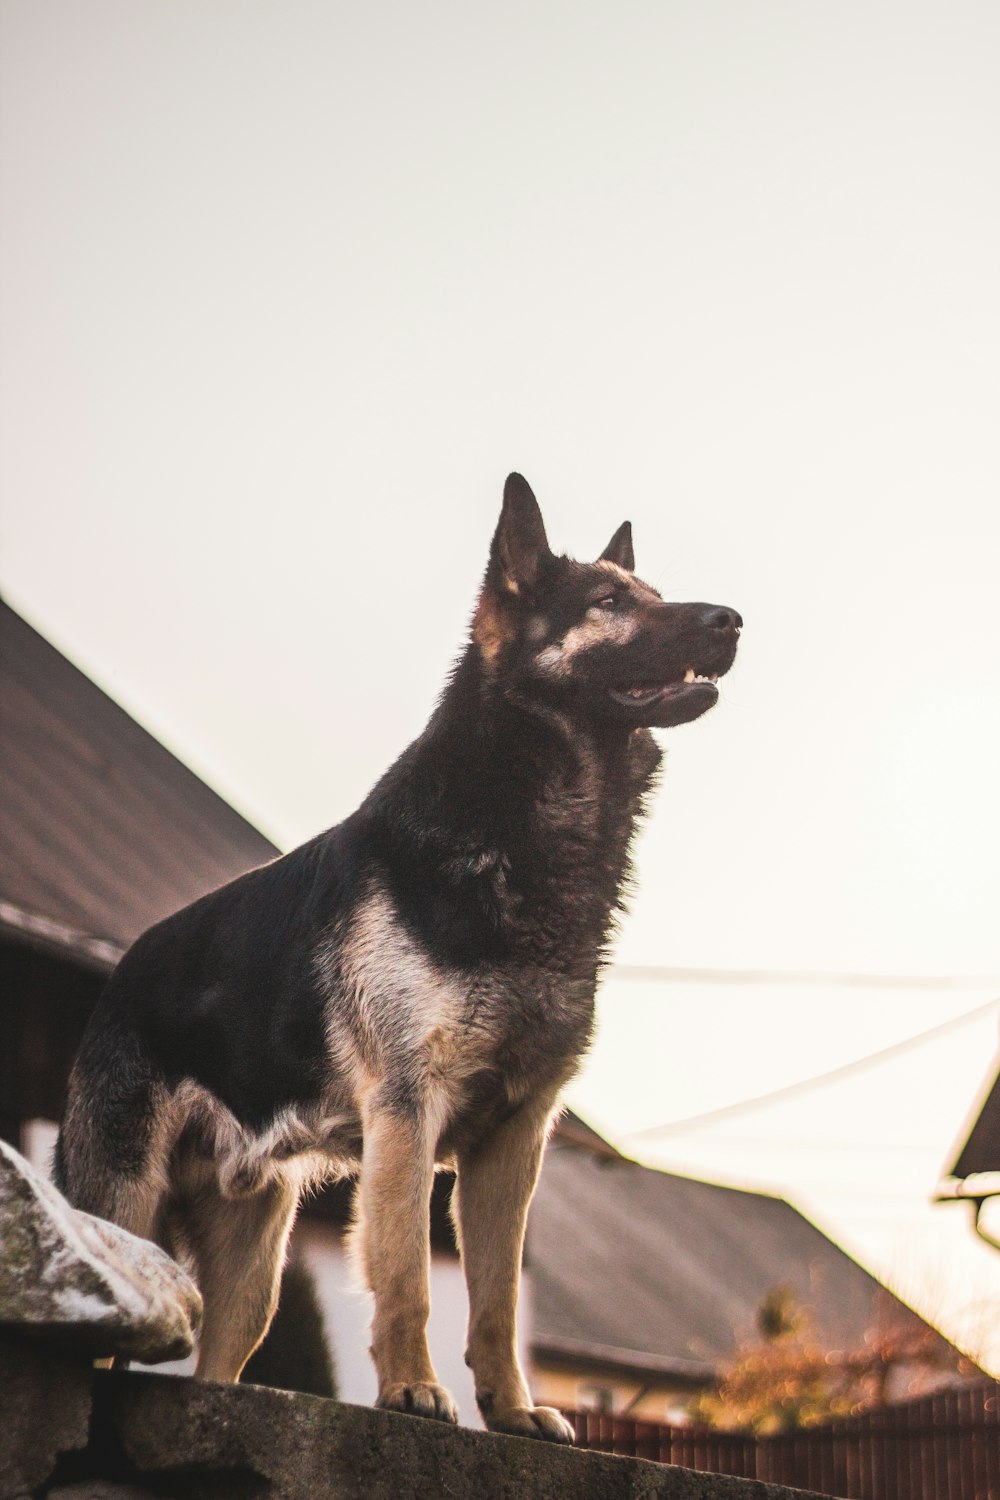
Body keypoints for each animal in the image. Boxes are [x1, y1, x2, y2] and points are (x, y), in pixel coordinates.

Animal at [56, 477, 743, 1440]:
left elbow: (495, 1299)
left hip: (253, 1272)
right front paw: (414, 1392)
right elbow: (410, 1276)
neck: (525, 831)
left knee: (220, 1366)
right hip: (124, 1216)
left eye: (650, 594)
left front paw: (511, 1409)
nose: (734, 621)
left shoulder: (511, 1142)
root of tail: (122, 974)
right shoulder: (407, 1115)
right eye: (609, 604)